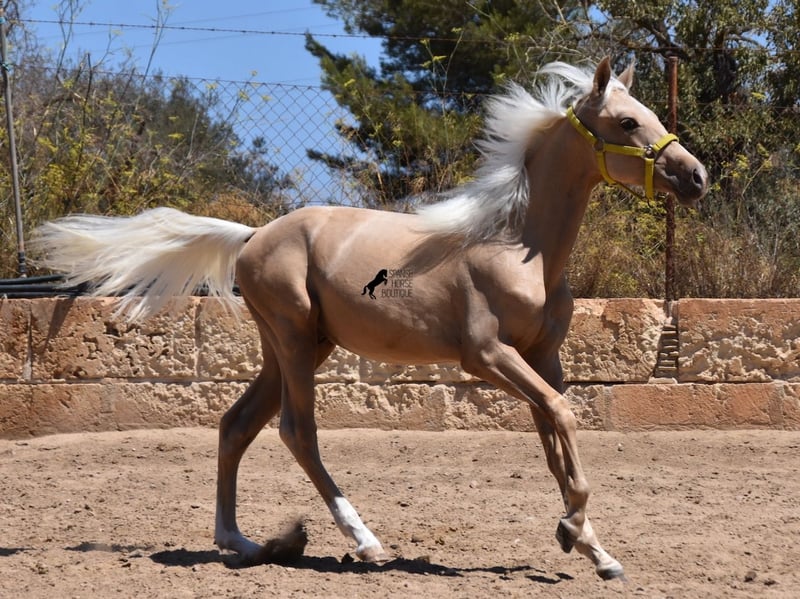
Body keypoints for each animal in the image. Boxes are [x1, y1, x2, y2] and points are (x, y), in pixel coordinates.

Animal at [32, 58, 708, 581]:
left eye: (650, 111)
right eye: (627, 121)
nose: (696, 176)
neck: (519, 245)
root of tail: (252, 237)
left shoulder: (543, 357)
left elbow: (554, 441)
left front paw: (592, 548)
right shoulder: (488, 356)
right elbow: (564, 418)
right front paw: (573, 530)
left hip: (300, 346)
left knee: (235, 425)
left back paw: (242, 542)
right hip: (295, 342)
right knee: (295, 432)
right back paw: (365, 541)